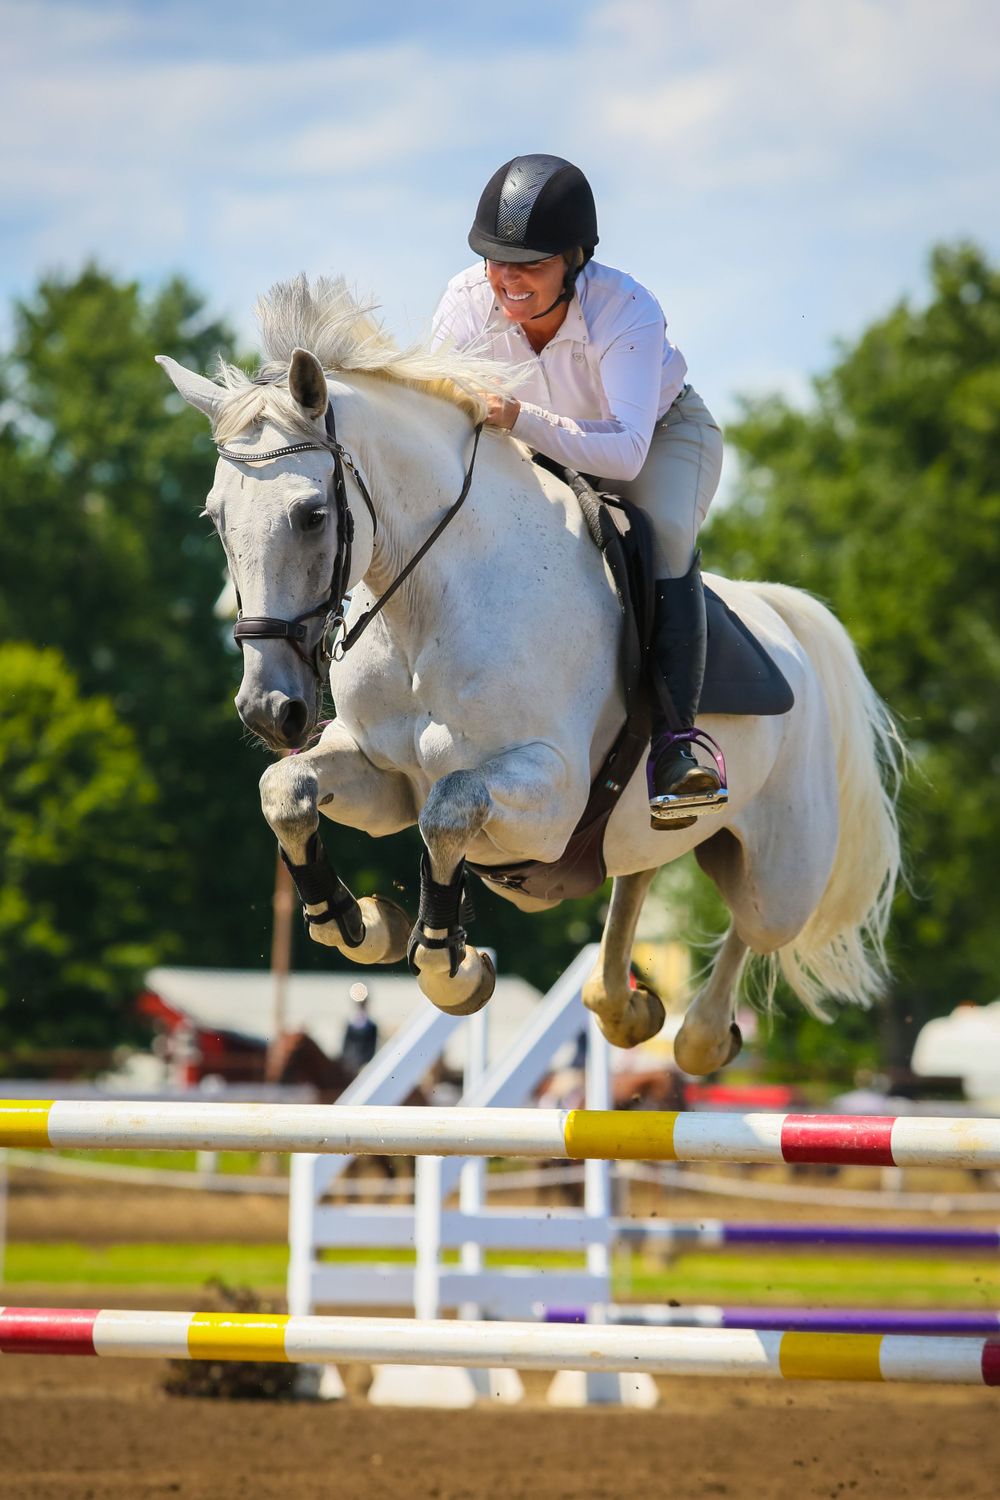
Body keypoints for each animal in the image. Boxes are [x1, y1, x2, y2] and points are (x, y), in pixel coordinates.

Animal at [158, 275, 902, 1076]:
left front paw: (451, 968)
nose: (270, 711)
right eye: (215, 519)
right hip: (648, 835)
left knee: (752, 929)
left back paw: (699, 1034)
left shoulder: (551, 792)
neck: (430, 608)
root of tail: (783, 620)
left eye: (312, 514)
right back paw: (623, 1005)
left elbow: (450, 808)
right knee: (637, 875)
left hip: (780, 873)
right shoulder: (381, 778)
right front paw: (360, 921)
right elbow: (287, 791)